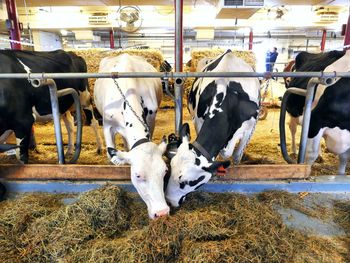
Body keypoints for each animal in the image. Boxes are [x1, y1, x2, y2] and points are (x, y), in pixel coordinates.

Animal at [93, 53, 170, 219]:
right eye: (138, 176)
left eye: (165, 172)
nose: (162, 213)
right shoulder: (107, 125)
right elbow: (112, 155)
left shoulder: (151, 119)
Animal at [165, 49, 262, 206]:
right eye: (171, 168)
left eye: (186, 182)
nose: (169, 200)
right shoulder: (198, 120)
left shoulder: (249, 126)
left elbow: (233, 154)